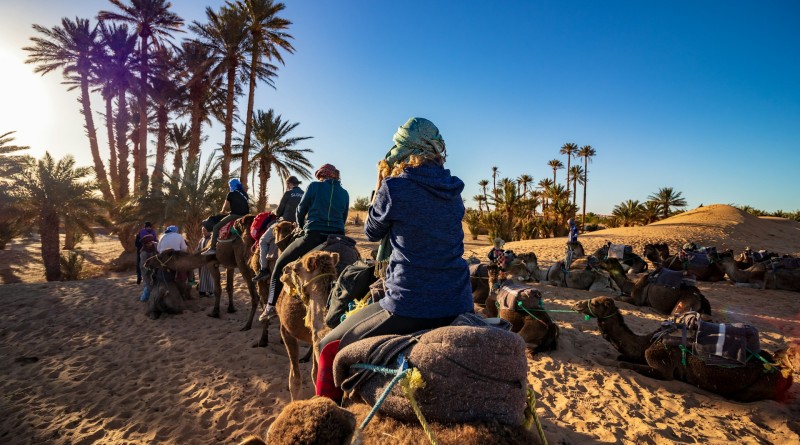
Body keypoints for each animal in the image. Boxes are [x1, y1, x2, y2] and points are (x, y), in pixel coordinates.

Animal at [572, 294, 796, 402]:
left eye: (596, 303)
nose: (576, 304)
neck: (646, 341)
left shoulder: (661, 365)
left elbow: (623, 365)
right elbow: (622, 358)